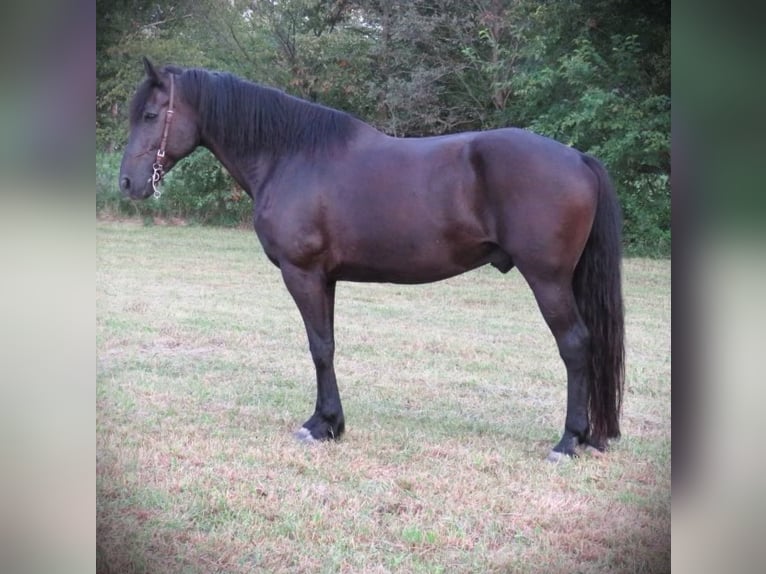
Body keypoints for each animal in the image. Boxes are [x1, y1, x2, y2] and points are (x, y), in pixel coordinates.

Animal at [118, 59, 624, 464]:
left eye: (150, 114)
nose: (126, 183)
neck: (290, 155)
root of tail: (577, 157)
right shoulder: (326, 279)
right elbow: (328, 344)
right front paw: (331, 423)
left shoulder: (302, 274)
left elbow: (319, 347)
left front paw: (320, 425)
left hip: (548, 279)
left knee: (575, 345)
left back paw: (567, 442)